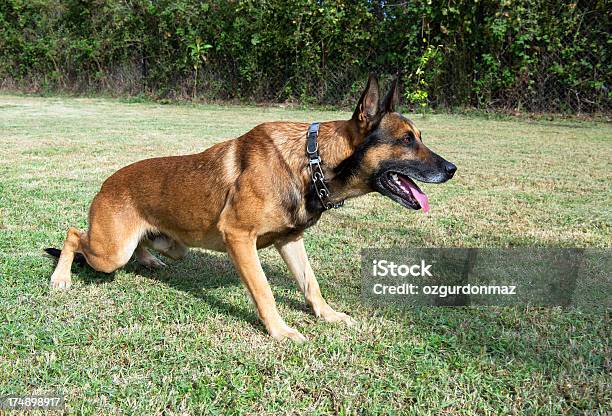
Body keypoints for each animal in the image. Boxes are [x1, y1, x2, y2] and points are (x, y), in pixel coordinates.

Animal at [46, 75, 454, 342]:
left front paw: (327, 315)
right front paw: (280, 331)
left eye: (419, 138)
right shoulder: (239, 238)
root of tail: (108, 183)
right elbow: (264, 291)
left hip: (169, 245)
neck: (311, 161)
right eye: (407, 140)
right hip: (110, 252)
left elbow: (311, 284)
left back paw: (148, 260)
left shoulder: (290, 241)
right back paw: (61, 277)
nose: (451, 169)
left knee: (145, 244)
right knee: (73, 234)